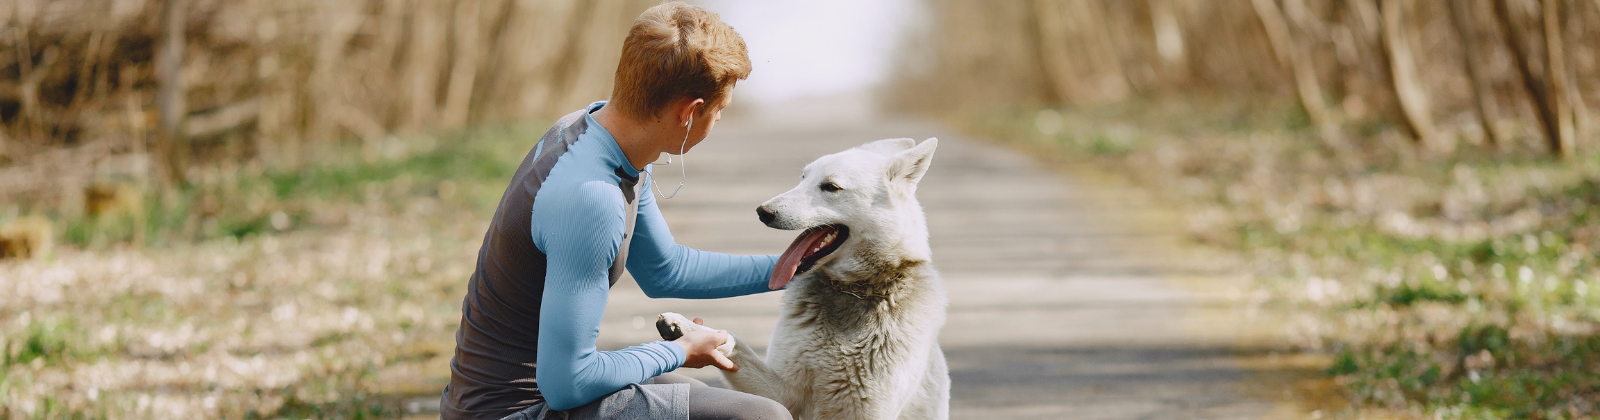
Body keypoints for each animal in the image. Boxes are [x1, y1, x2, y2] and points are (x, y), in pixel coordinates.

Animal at [659, 138, 947, 420]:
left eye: (831, 187)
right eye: (802, 178)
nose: (762, 212)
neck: (853, 289)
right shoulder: (783, 395)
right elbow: (734, 341)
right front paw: (687, 327)